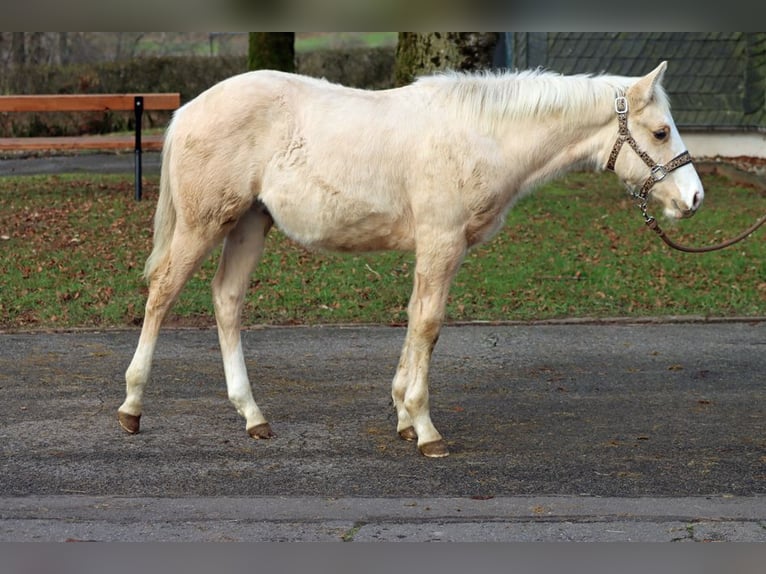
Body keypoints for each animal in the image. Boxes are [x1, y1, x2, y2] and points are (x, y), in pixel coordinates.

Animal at [118, 61, 704, 457]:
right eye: (660, 131)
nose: (693, 199)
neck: (481, 136)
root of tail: (188, 110)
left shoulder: (434, 247)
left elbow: (413, 321)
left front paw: (402, 413)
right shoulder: (442, 242)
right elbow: (428, 325)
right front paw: (425, 430)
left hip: (249, 223)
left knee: (227, 299)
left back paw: (252, 415)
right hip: (205, 223)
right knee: (163, 293)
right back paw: (132, 406)